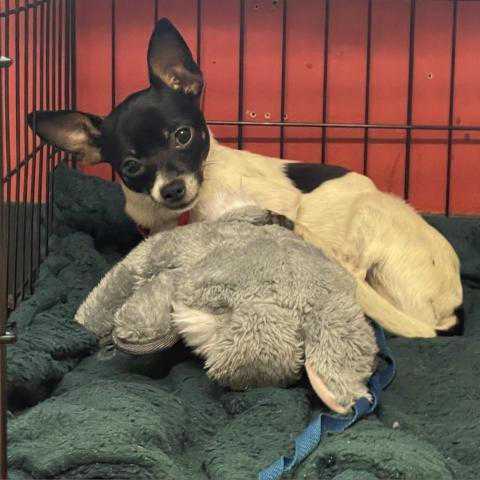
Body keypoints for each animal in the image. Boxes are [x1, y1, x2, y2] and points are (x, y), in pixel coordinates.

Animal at [29, 17, 462, 338]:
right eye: (131, 166)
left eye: (183, 135)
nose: (172, 189)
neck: (191, 212)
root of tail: (451, 309)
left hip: (367, 215)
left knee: (349, 270)